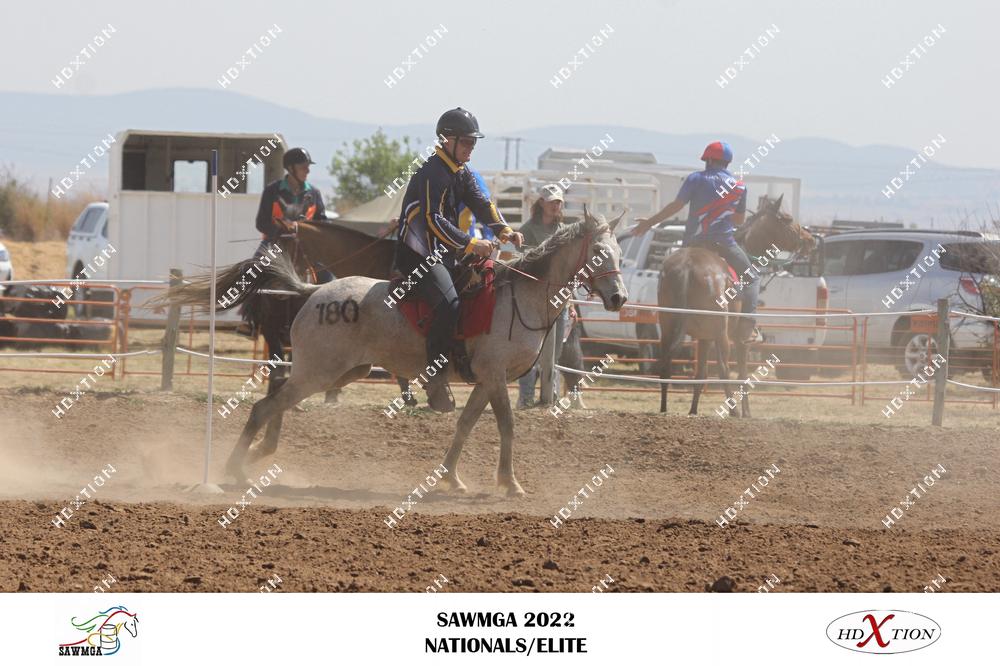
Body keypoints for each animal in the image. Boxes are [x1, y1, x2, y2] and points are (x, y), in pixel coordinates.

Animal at [162, 206, 628, 496]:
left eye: (620, 252)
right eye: (598, 252)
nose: (619, 298)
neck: (520, 298)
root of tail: (313, 291)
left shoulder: (485, 381)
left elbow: (465, 426)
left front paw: (451, 478)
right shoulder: (496, 378)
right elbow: (507, 427)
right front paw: (510, 483)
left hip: (337, 372)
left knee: (276, 398)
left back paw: (259, 455)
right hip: (319, 371)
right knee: (266, 405)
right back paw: (234, 468)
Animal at [656, 194, 815, 417]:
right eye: (788, 219)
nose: (810, 239)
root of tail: (687, 266)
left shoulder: (704, 338)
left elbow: (701, 373)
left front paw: (693, 410)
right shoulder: (742, 341)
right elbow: (742, 374)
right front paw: (747, 411)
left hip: (668, 326)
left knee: (665, 364)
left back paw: (663, 409)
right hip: (721, 333)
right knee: (723, 368)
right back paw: (734, 411)